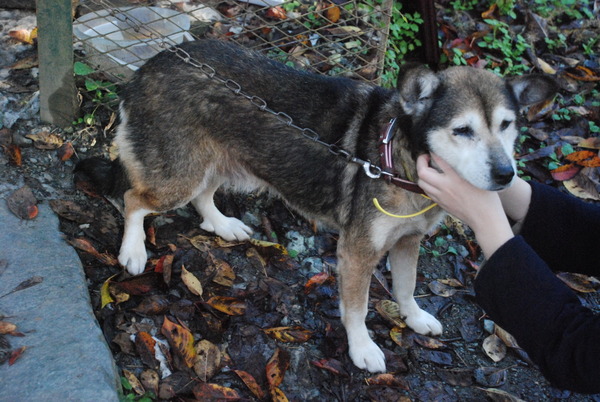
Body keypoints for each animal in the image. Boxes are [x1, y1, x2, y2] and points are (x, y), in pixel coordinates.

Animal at [76, 39, 556, 372]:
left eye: (507, 125)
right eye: (463, 130)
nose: (506, 175)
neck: (401, 160)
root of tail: (151, 64)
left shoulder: (409, 241)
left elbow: (405, 286)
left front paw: (415, 317)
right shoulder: (358, 251)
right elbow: (358, 308)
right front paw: (362, 347)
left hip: (218, 162)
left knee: (201, 196)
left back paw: (222, 224)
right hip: (179, 174)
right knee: (134, 198)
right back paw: (133, 250)